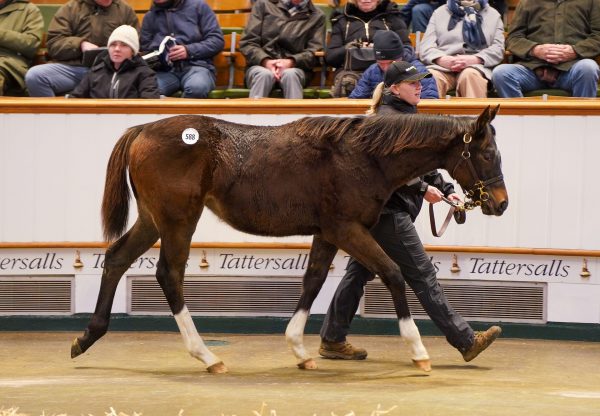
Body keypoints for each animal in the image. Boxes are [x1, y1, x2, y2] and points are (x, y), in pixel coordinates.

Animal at [72, 105, 508, 374]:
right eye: (487, 155)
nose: (500, 203)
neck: (362, 156)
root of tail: (141, 129)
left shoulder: (328, 232)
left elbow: (312, 281)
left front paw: (300, 349)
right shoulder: (347, 228)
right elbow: (394, 273)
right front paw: (418, 352)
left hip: (152, 219)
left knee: (116, 257)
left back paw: (87, 337)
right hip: (178, 220)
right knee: (169, 274)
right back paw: (207, 355)